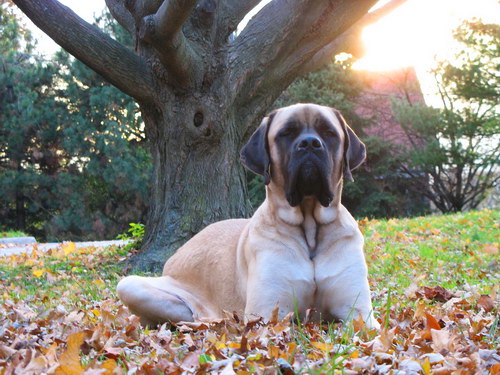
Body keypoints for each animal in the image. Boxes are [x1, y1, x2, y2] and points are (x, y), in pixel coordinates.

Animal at [117, 103, 378, 328]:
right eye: (286, 133)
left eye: (328, 132)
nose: (310, 143)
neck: (309, 226)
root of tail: (173, 259)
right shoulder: (266, 314)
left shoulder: (360, 314)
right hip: (130, 284)